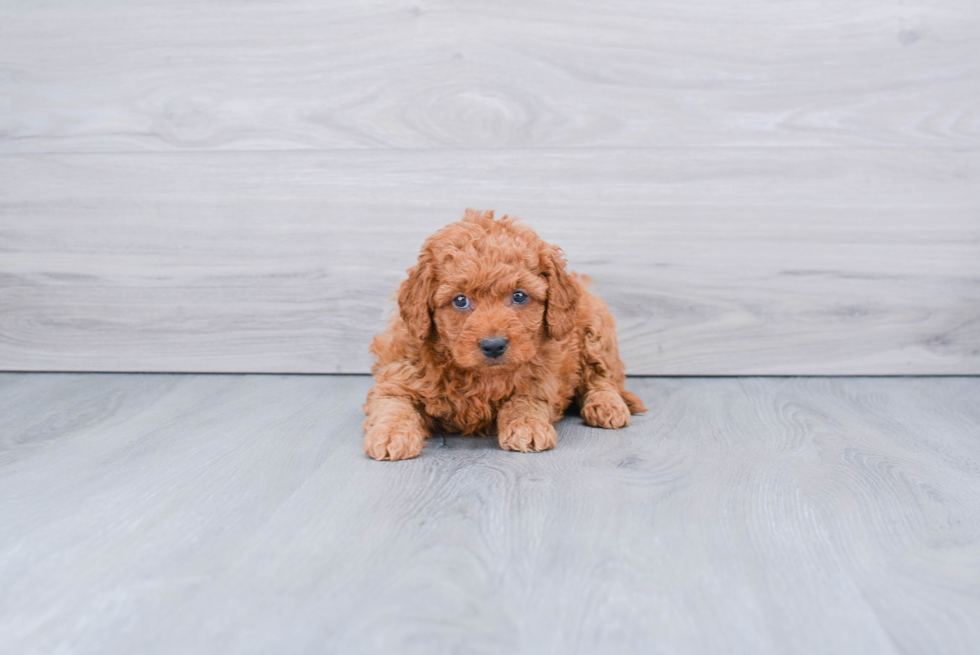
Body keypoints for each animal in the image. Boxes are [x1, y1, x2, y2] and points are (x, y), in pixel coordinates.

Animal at [364, 210, 648, 462]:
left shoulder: (541, 376)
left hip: (595, 330)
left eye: (519, 296)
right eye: (460, 300)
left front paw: (527, 426)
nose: (493, 346)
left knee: (602, 378)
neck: (479, 376)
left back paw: (607, 405)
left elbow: (525, 399)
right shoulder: (398, 375)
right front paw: (390, 434)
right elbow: (393, 405)